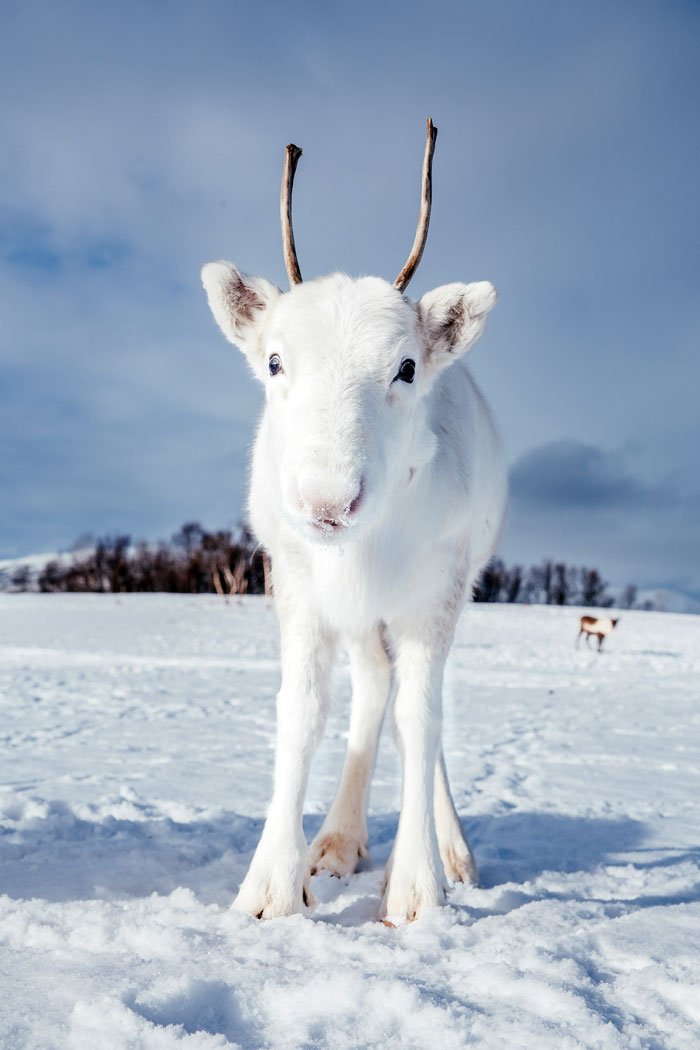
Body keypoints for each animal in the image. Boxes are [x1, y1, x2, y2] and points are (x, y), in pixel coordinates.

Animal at [201, 119, 507, 925]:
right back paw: (338, 840)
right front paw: (271, 890)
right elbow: (303, 712)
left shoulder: (435, 590)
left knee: (414, 710)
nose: (327, 503)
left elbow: (421, 720)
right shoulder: (296, 583)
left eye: (406, 367)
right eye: (275, 362)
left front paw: (418, 888)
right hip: (363, 621)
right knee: (373, 690)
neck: (361, 551)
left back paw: (448, 850)